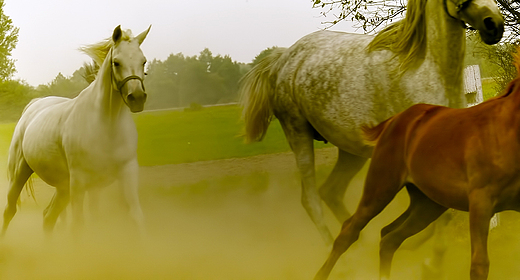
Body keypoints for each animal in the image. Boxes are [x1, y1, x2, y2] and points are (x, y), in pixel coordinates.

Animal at [2, 25, 151, 236]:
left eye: (143, 61)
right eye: (116, 62)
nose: (137, 98)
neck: (106, 126)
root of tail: (33, 105)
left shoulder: (124, 174)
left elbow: (135, 217)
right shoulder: (80, 183)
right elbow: (77, 226)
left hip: (63, 187)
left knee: (48, 216)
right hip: (19, 173)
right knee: (10, 210)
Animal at [241, 0, 504, 244]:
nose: (494, 24)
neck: (429, 70)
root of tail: (281, 59)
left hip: (350, 149)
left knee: (332, 192)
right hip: (298, 133)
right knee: (312, 200)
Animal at [314, 51, 520, 278]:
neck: (507, 132)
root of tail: (396, 119)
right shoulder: (480, 204)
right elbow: (479, 265)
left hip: (427, 204)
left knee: (389, 237)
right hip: (380, 190)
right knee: (349, 231)